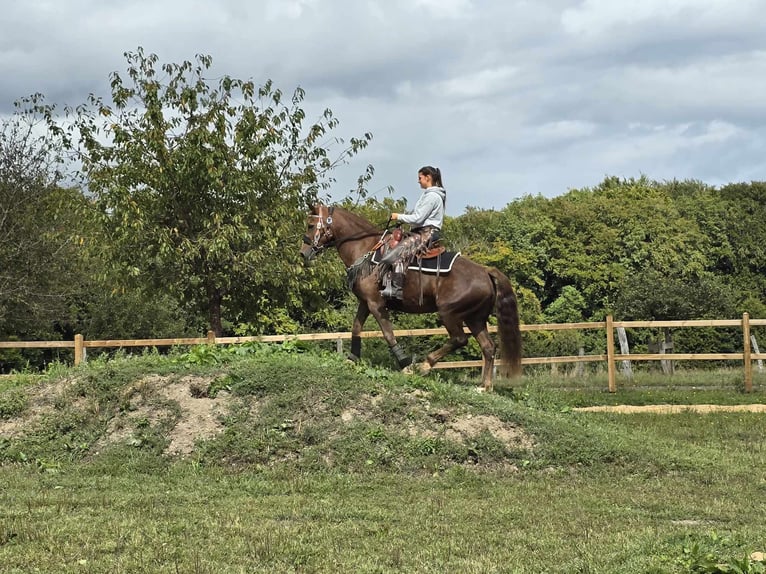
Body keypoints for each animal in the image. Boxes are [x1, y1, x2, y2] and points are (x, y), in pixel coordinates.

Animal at [304, 205, 524, 394]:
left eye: (310, 225)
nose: (303, 252)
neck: (366, 251)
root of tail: (486, 271)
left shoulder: (376, 304)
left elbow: (388, 333)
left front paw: (405, 364)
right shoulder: (365, 303)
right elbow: (356, 327)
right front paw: (352, 358)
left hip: (449, 313)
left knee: (460, 339)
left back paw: (425, 365)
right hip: (475, 319)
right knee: (488, 347)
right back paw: (485, 386)